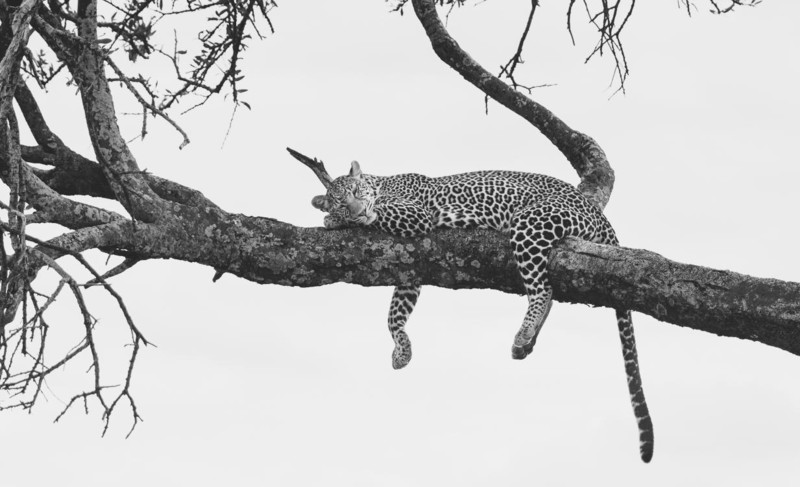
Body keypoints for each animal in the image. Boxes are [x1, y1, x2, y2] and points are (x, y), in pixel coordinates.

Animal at [312, 161, 654, 463]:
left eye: (357, 191)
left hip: (531, 222)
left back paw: (525, 330)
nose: (356, 211)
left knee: (543, 291)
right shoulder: (410, 268)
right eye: (341, 201)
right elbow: (395, 313)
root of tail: (598, 213)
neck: (382, 182)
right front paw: (402, 350)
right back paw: (526, 342)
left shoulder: (417, 215)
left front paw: (336, 221)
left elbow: (383, 214)